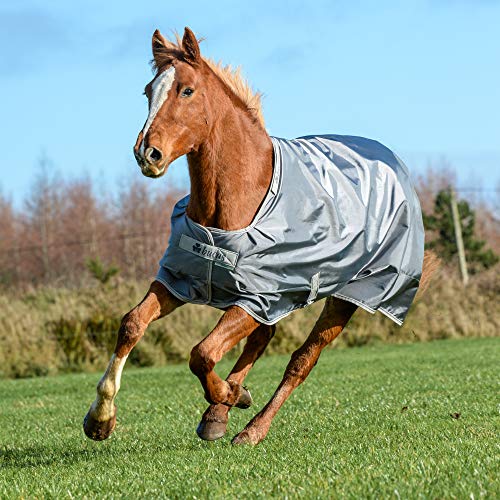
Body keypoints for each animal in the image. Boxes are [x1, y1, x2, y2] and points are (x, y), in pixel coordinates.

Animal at [83, 27, 438, 446]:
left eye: (186, 90)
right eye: (147, 90)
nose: (146, 153)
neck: (233, 205)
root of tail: (392, 162)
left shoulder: (255, 297)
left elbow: (202, 353)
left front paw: (230, 394)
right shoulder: (184, 280)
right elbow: (132, 323)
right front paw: (100, 419)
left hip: (345, 297)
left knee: (301, 360)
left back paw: (251, 427)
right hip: (279, 297)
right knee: (263, 337)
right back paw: (218, 414)